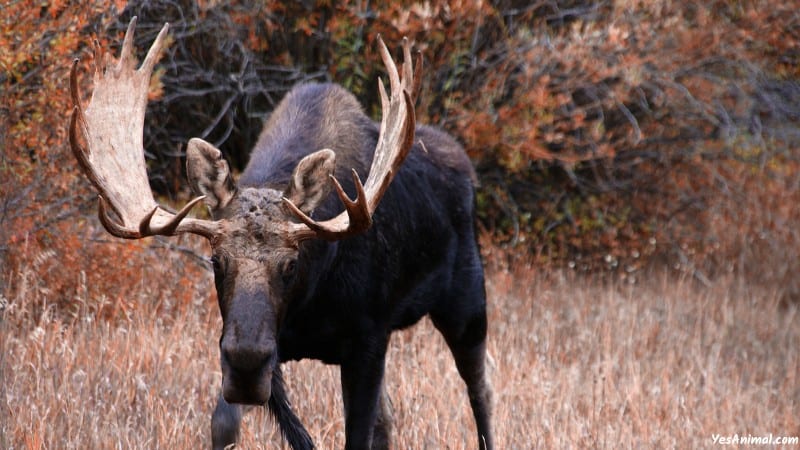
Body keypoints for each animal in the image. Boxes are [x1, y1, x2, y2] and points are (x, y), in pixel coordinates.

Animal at [69, 18, 494, 450]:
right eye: (216, 261)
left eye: (291, 264)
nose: (246, 361)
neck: (311, 301)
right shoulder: (262, 349)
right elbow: (225, 424)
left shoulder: (368, 341)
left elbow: (358, 434)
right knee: (392, 418)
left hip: (467, 302)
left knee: (480, 391)